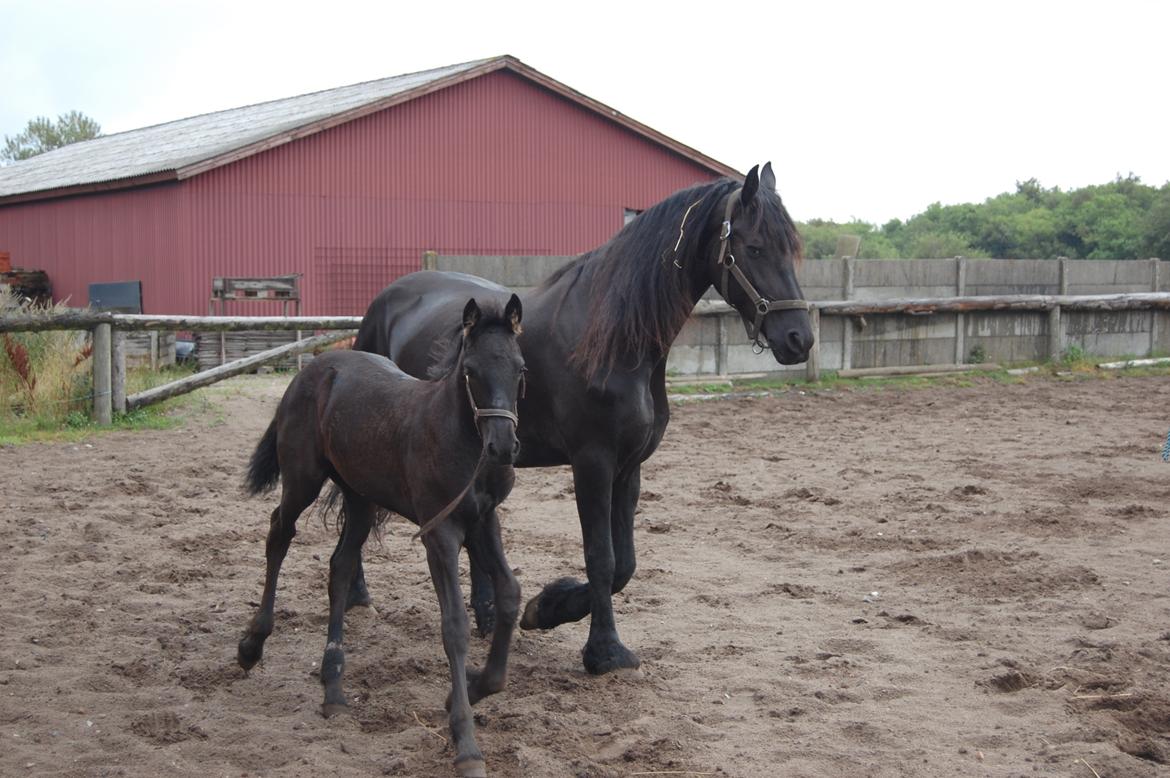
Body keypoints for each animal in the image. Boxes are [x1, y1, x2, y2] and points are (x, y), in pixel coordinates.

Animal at [348, 163, 804, 673]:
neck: (610, 339)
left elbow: (625, 563)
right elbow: (601, 557)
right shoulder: (593, 463)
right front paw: (602, 650)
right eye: (755, 248)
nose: (798, 338)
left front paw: (546, 608)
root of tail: (386, 299)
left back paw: (485, 614)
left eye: (791, 248)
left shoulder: (629, 467)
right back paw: (359, 598)